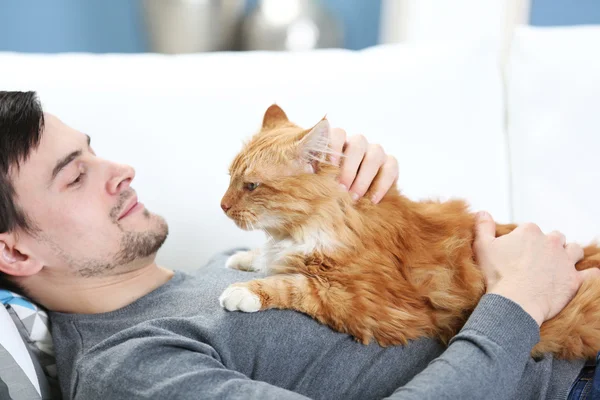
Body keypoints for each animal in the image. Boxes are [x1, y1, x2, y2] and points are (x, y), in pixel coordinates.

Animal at [219, 103, 600, 360]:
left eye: (251, 186)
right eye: (230, 178)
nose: (222, 206)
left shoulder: (369, 302)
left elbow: (292, 285)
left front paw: (244, 291)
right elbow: (268, 259)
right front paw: (244, 257)